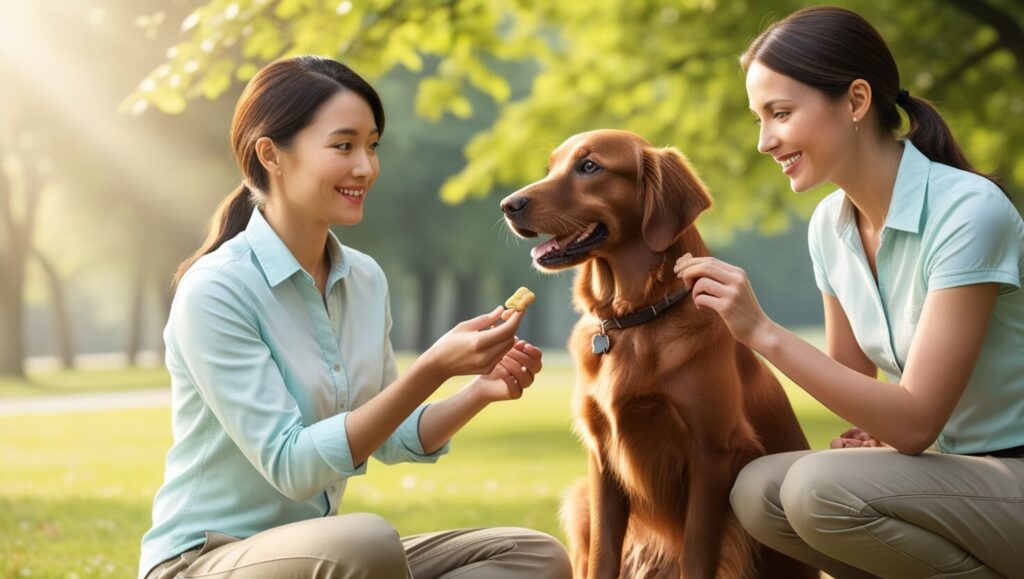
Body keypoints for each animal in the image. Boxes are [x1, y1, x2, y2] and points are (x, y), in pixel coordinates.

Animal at [499, 131, 811, 577]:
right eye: (551, 167)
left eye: (589, 166)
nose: (508, 205)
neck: (634, 320)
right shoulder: (602, 456)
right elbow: (603, 555)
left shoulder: (711, 454)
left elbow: (696, 556)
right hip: (580, 500)